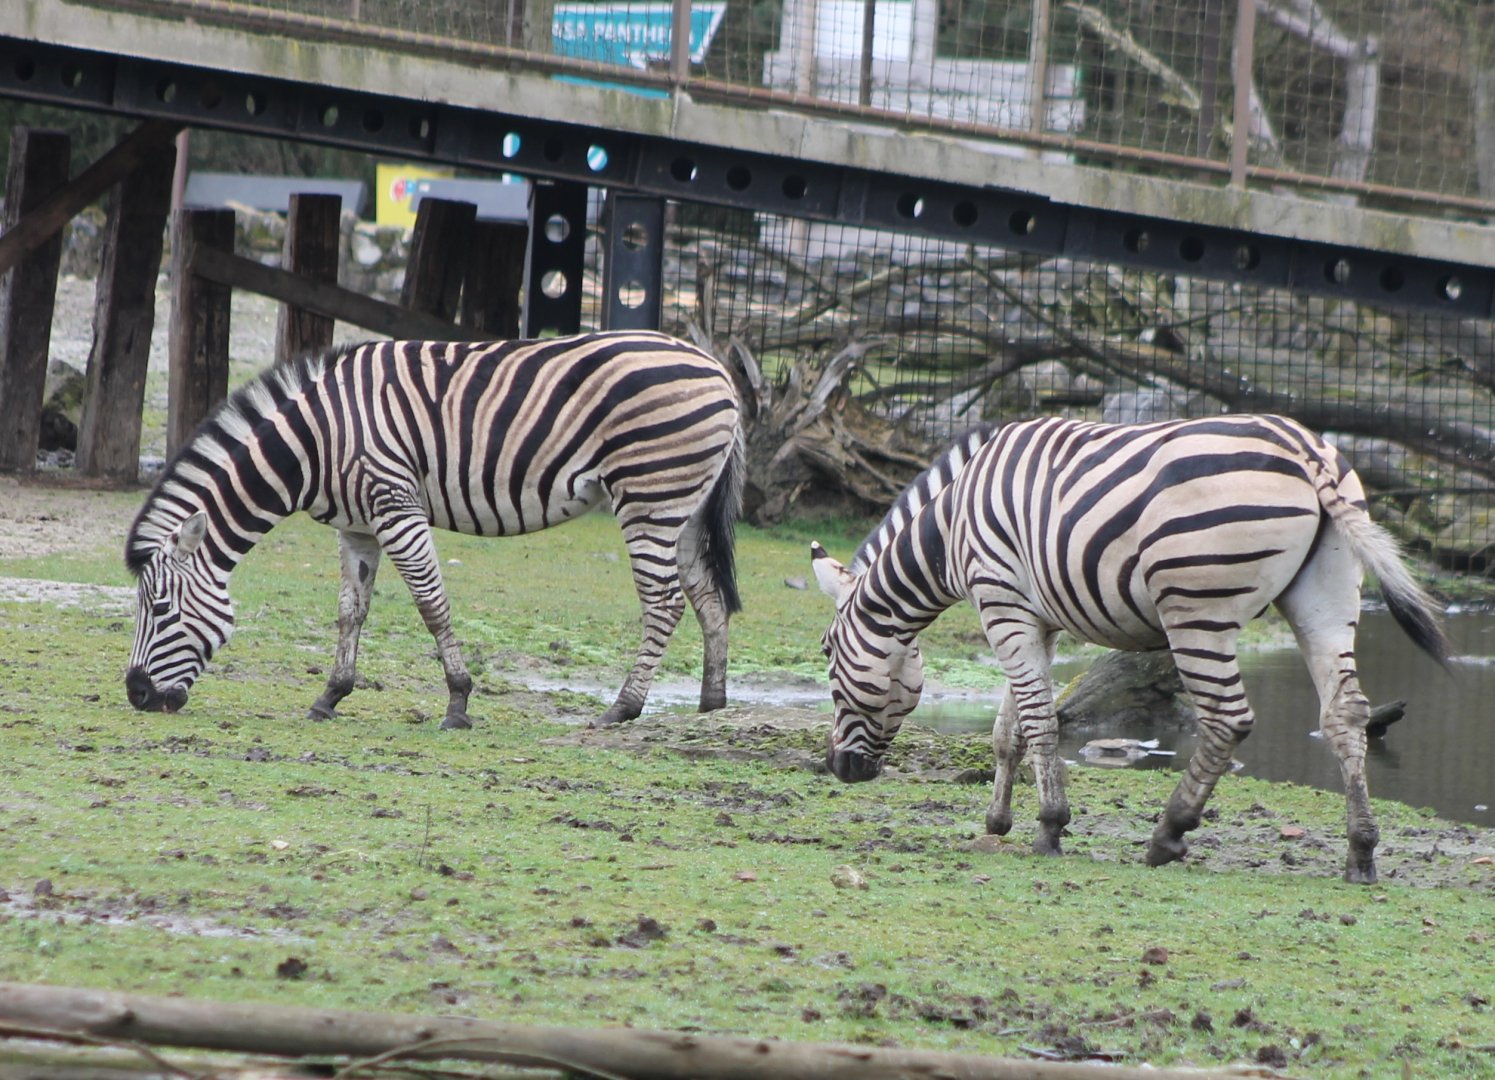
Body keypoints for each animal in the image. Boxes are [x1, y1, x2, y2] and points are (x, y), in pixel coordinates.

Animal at [125, 330, 744, 730]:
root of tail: (718, 369)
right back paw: (711, 704)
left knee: (665, 602)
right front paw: (331, 695)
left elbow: (431, 605)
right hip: (682, 506)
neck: (315, 442)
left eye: (161, 609)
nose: (135, 694)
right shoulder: (357, 528)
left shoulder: (396, 506)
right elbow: (351, 610)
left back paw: (623, 708)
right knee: (708, 597)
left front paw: (458, 702)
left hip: (648, 496)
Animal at [811, 414, 1450, 883]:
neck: (949, 529)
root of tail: (1308, 452)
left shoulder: (1002, 604)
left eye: (826, 655)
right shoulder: (1037, 619)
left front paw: (1049, 827)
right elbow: (1006, 730)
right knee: (1346, 715)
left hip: (1196, 606)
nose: (838, 769)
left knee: (1228, 718)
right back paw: (1361, 852)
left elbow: (1038, 722)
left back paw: (1168, 834)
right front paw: (997, 821)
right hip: (1329, 593)